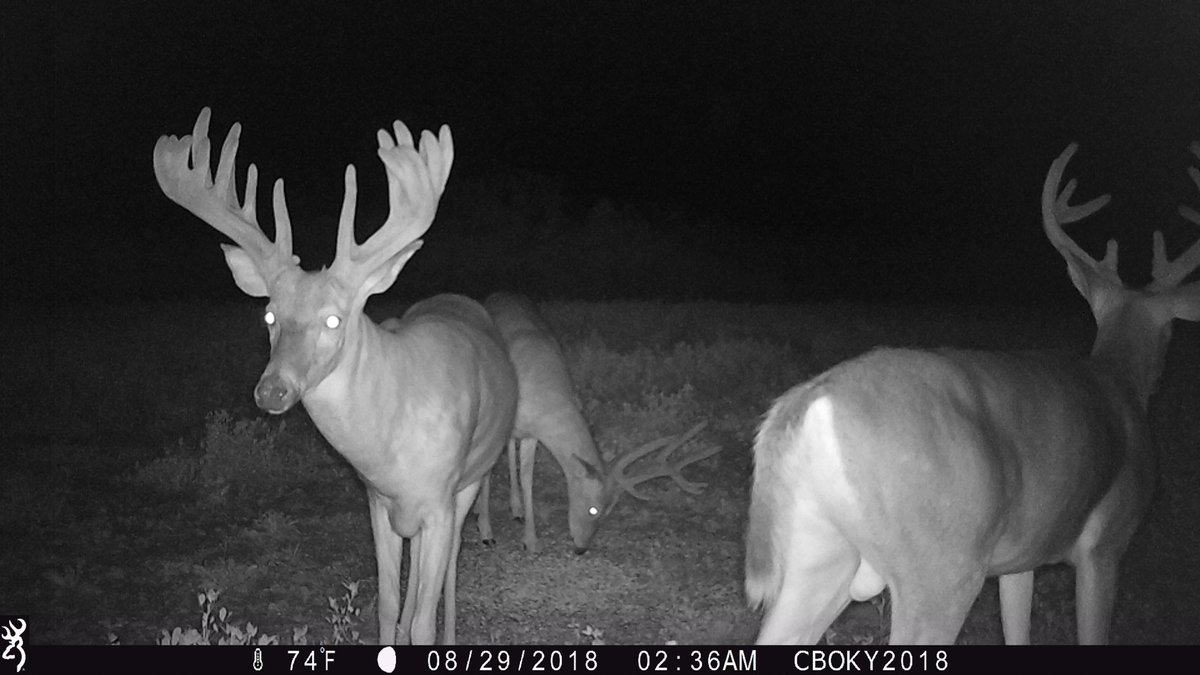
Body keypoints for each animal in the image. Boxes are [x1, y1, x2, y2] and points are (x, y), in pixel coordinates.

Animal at [153, 108, 518, 645]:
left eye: (333, 320)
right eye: (269, 315)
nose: (272, 390)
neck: (390, 444)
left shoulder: (440, 498)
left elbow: (423, 620)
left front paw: (429, 634)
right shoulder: (377, 499)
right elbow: (388, 607)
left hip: (473, 476)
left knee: (450, 565)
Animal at [471, 291, 721, 553]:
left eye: (608, 512)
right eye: (593, 509)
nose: (581, 548)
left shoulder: (533, 433)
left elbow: (527, 477)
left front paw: (530, 540)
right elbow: (488, 473)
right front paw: (486, 532)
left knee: (511, 452)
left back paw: (516, 509)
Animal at [745, 142, 1200, 645]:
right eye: (1170, 332)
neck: (1119, 378)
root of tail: (805, 404)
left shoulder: (1023, 556)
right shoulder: (1106, 545)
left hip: (819, 549)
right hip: (944, 567)